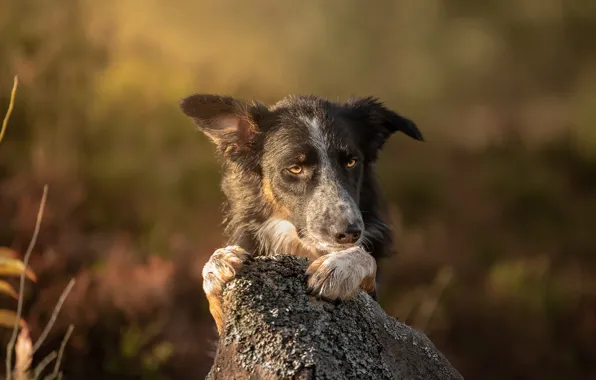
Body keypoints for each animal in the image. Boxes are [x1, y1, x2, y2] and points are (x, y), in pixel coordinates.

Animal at [179, 93, 422, 334]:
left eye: (352, 162)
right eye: (295, 168)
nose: (350, 233)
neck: (304, 248)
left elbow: (366, 258)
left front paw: (341, 266)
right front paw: (217, 264)